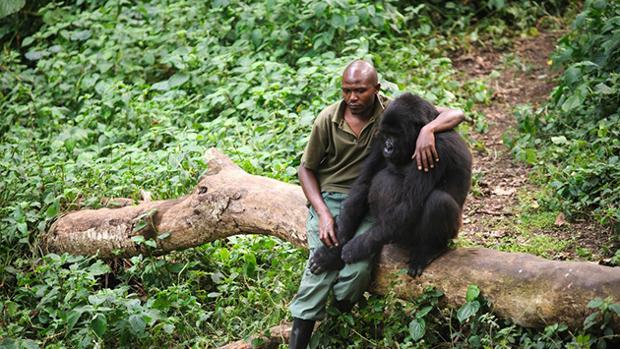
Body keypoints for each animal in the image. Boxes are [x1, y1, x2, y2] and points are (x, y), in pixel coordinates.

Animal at [310, 93, 474, 278]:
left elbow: (409, 204)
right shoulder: (378, 140)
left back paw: (429, 250)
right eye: (386, 134)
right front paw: (331, 253)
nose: (388, 148)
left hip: (451, 233)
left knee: (438, 201)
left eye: (396, 135)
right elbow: (364, 184)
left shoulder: (436, 146)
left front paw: (355, 248)